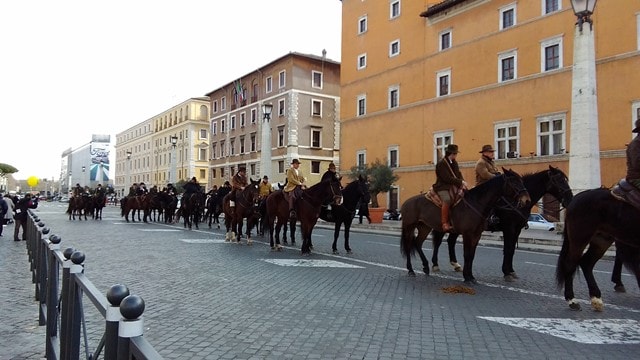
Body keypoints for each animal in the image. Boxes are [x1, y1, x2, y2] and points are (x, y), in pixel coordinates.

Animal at [400, 169, 528, 284]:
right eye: (514, 181)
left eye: (521, 181)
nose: (526, 199)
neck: (476, 203)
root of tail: (406, 202)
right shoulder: (468, 234)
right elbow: (467, 254)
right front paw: (467, 277)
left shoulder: (477, 235)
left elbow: (471, 255)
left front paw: (471, 276)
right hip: (409, 227)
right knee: (409, 245)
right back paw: (411, 270)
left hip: (425, 227)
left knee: (418, 243)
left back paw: (426, 267)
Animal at [428, 166, 572, 282]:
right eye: (560, 180)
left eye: (565, 179)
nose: (570, 198)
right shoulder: (509, 228)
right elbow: (508, 249)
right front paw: (507, 272)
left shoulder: (517, 230)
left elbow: (511, 249)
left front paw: (511, 271)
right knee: (439, 241)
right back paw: (435, 264)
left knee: (451, 241)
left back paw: (456, 264)